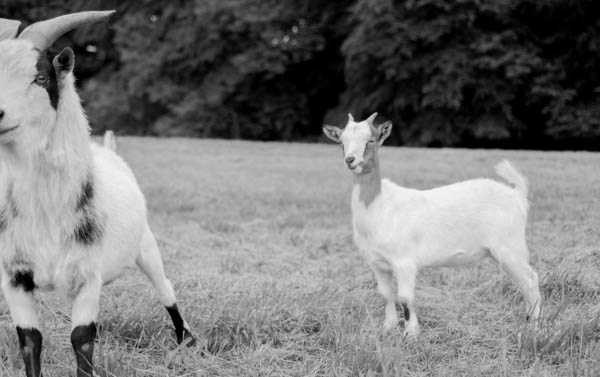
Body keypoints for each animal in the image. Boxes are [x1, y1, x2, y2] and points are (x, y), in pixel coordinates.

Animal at [0, 11, 195, 376]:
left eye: (41, 77)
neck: (46, 212)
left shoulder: (87, 275)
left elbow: (82, 339)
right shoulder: (14, 276)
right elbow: (30, 341)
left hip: (146, 245)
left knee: (165, 288)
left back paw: (186, 340)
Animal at [324, 113, 544, 336]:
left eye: (371, 140)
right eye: (341, 142)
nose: (350, 160)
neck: (380, 207)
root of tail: (517, 194)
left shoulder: (404, 261)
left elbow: (405, 298)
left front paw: (411, 334)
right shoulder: (377, 262)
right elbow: (385, 295)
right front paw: (388, 328)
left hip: (510, 245)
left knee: (531, 280)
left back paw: (533, 329)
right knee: (524, 283)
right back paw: (527, 322)